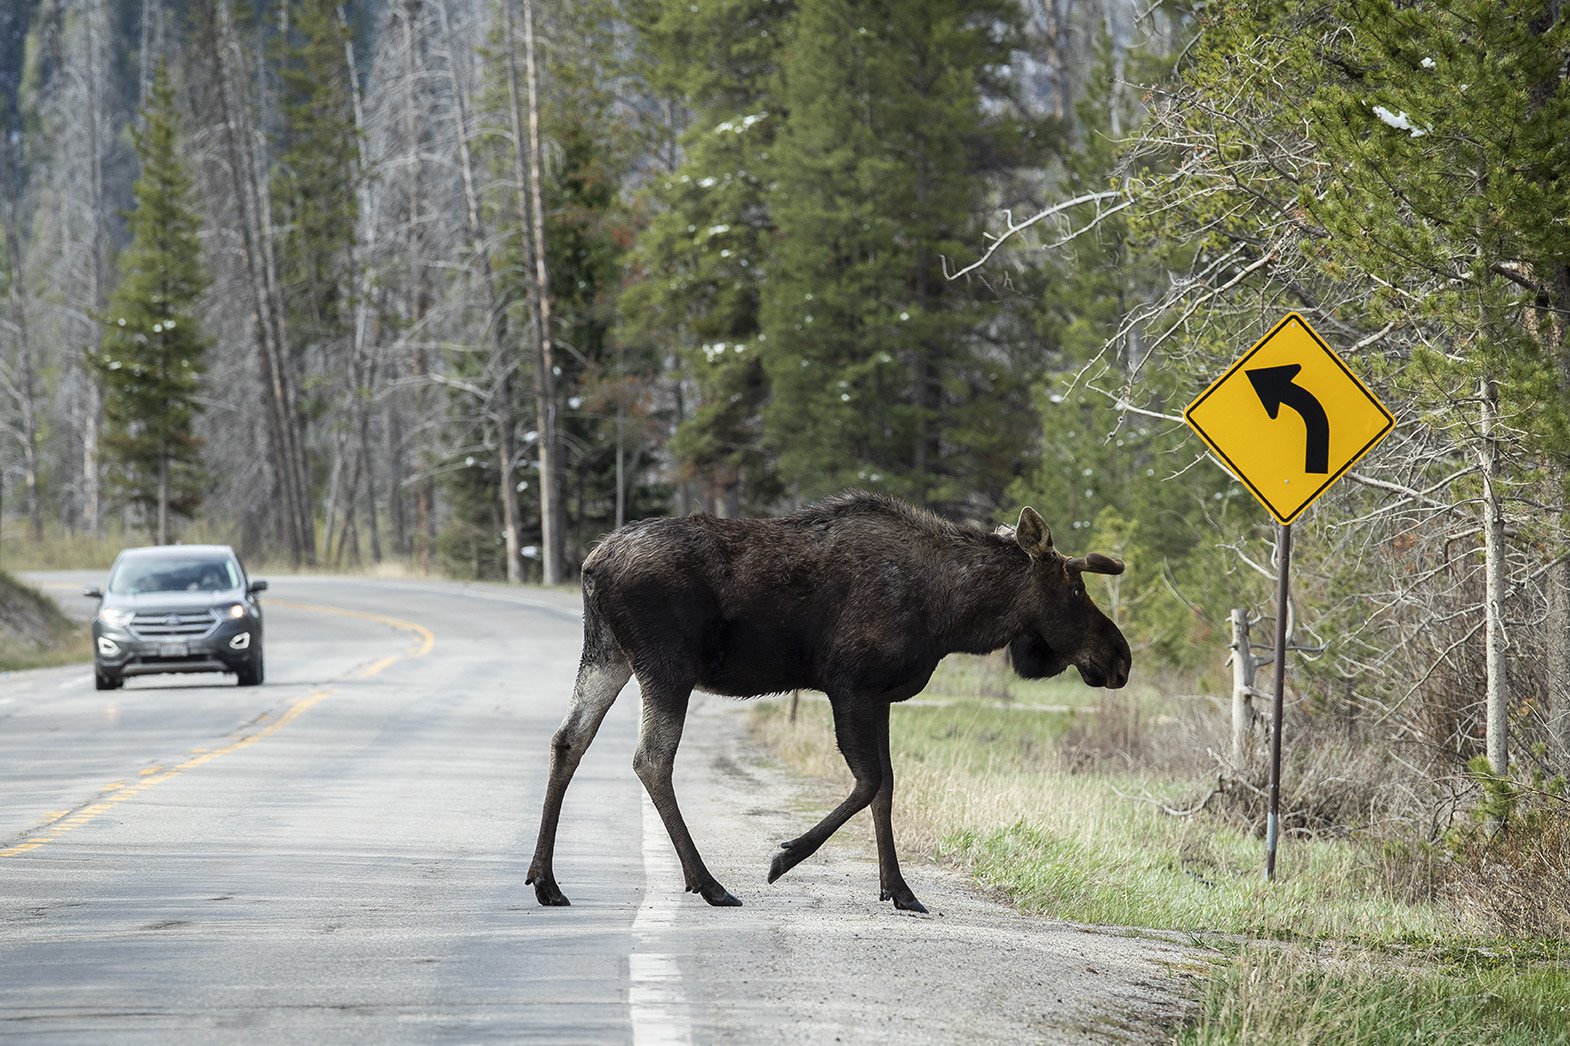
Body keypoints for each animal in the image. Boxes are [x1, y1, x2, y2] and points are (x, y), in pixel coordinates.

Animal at [526, 492, 1130, 913]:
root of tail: (592, 565)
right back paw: (708, 883)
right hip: (666, 666)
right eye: (1076, 590)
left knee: (568, 740)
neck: (953, 617)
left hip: (607, 652)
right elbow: (869, 782)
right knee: (650, 759)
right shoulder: (851, 686)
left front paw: (899, 890)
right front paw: (784, 857)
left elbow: (886, 786)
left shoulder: (880, 696)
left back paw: (547, 881)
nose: (1119, 658)